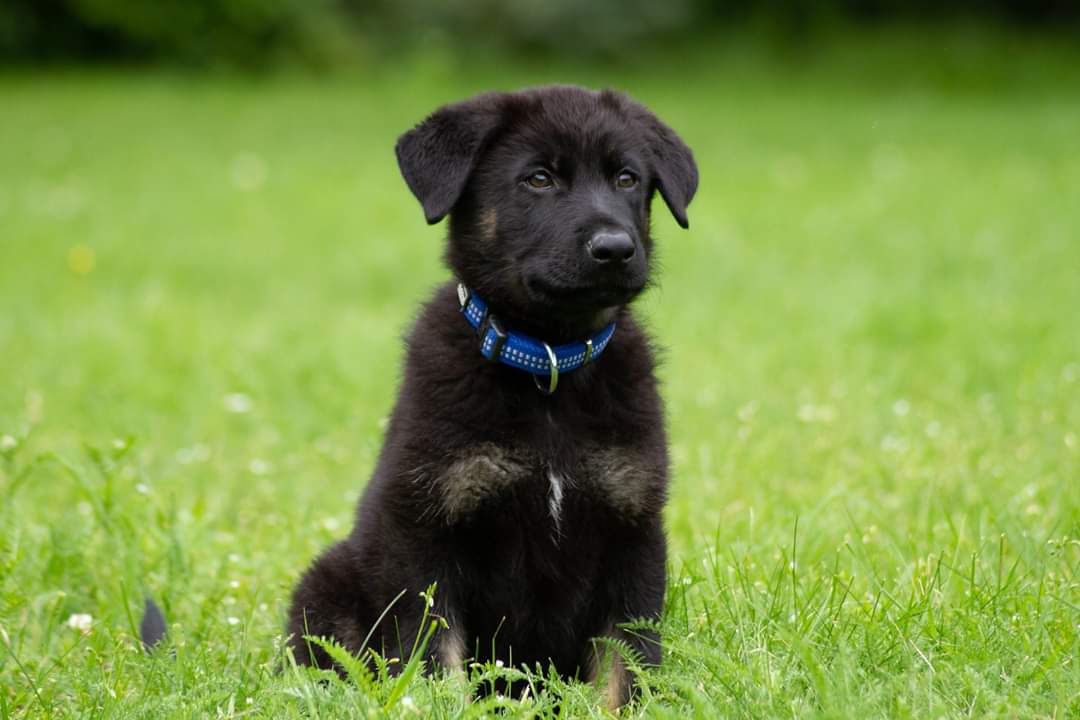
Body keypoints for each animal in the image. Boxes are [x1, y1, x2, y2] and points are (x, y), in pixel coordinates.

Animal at [286, 84, 697, 708]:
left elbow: (625, 661)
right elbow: (435, 655)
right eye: (538, 179)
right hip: (328, 583)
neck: (547, 363)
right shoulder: (425, 531)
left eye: (627, 178)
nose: (615, 248)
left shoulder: (633, 527)